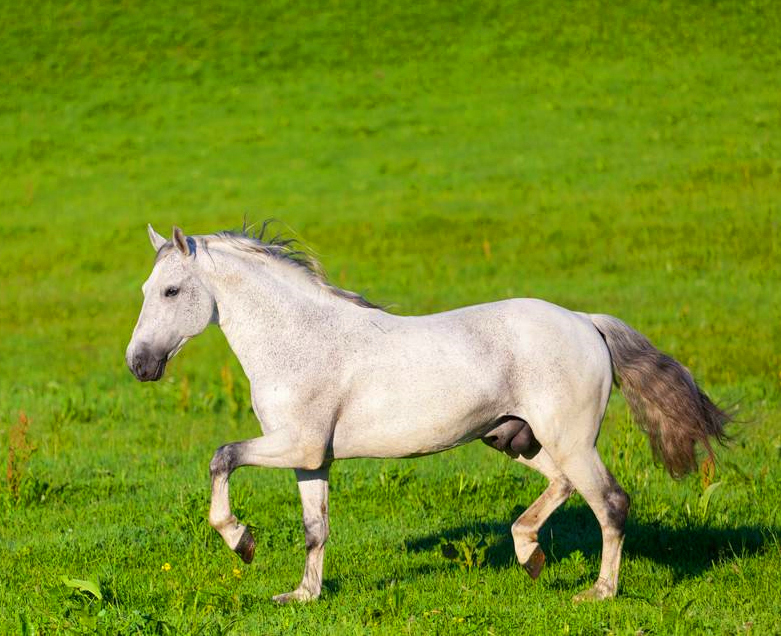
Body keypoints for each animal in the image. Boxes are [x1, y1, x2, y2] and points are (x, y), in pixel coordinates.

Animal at [125, 226, 728, 604]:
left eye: (172, 290)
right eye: (145, 288)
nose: (139, 364)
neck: (298, 341)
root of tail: (585, 321)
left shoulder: (296, 444)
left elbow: (221, 457)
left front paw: (240, 542)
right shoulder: (311, 459)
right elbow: (315, 529)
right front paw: (302, 595)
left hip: (570, 440)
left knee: (611, 502)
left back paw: (598, 592)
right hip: (518, 439)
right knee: (562, 486)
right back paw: (528, 553)